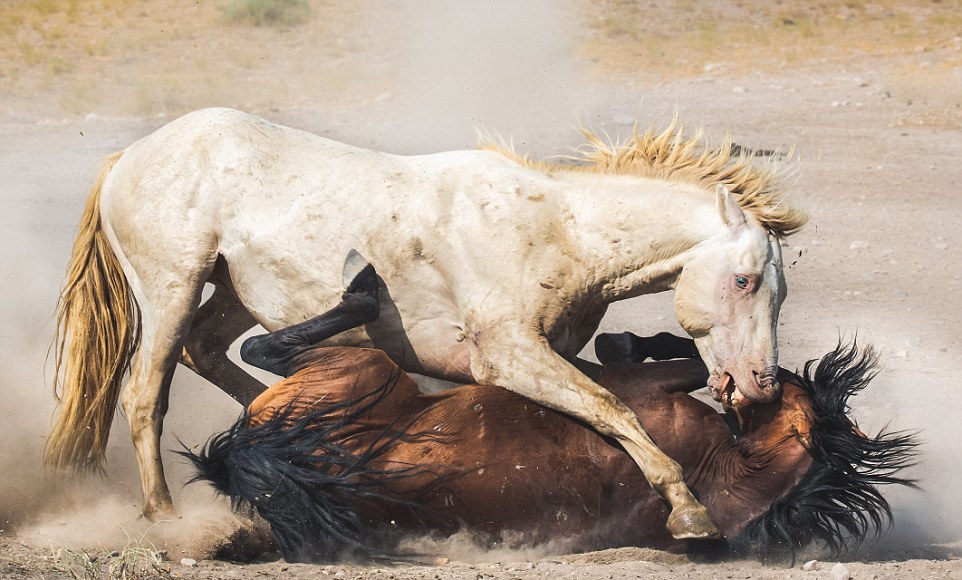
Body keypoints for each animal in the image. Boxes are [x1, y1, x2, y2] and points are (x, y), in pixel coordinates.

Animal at [48, 109, 808, 540]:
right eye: (745, 281)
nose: (759, 386)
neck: (559, 233)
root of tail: (129, 159)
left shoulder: (553, 355)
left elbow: (618, 386)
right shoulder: (508, 356)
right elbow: (614, 408)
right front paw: (689, 511)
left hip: (231, 292)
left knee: (213, 356)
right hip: (170, 289)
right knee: (145, 394)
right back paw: (165, 514)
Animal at [186, 342, 916, 564]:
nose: (768, 372)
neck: (725, 481)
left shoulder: (637, 386)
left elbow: (658, 353)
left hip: (360, 366)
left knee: (269, 347)